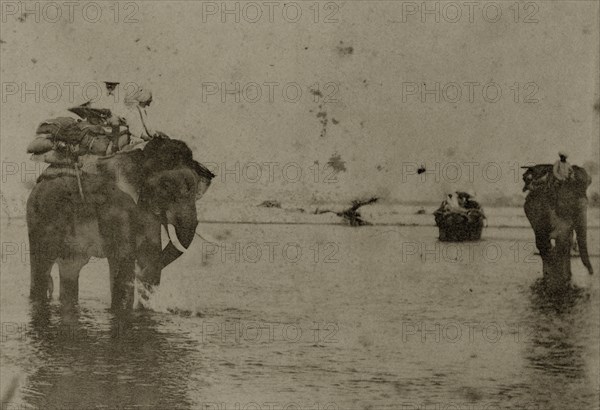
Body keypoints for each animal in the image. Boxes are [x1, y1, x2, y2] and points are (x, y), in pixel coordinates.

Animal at [25, 138, 214, 308]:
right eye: (166, 186)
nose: (138, 274)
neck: (139, 157)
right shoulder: (116, 206)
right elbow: (123, 263)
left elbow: (149, 256)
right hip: (38, 217)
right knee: (42, 270)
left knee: (70, 269)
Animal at [524, 163, 592, 292]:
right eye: (569, 204)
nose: (591, 273)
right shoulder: (542, 210)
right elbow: (559, 239)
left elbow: (565, 241)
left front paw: (566, 283)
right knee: (543, 243)